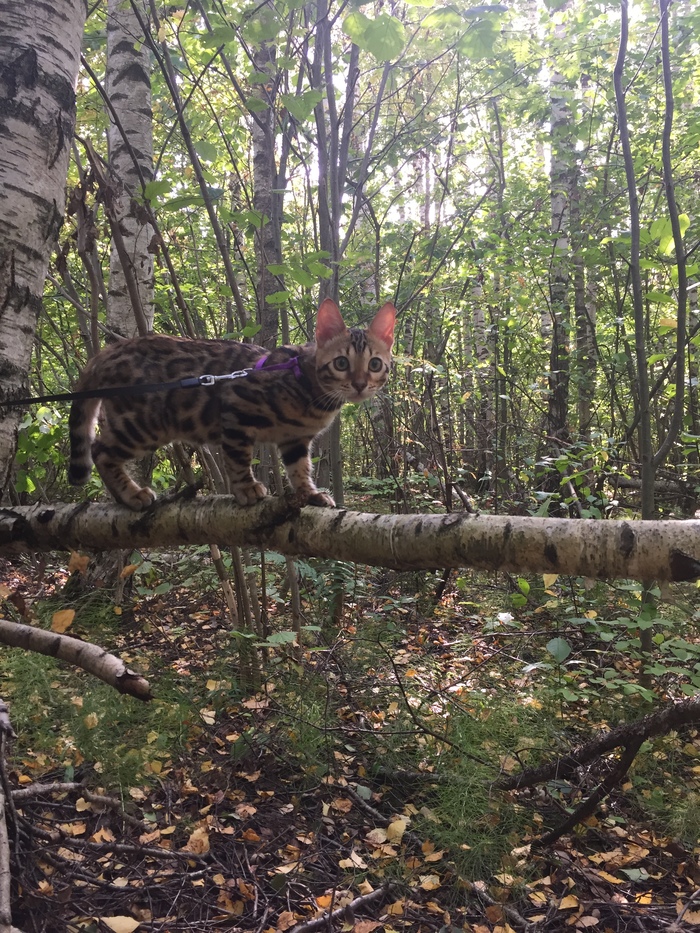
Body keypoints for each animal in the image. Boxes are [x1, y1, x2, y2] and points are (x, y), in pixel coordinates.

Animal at [68, 298, 396, 510]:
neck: (311, 390)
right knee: (99, 450)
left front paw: (309, 493)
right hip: (143, 423)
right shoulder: (238, 408)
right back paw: (130, 495)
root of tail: (108, 351)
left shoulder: (295, 439)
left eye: (375, 364)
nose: (359, 384)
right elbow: (238, 458)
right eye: (341, 363)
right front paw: (246, 489)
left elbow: (300, 468)